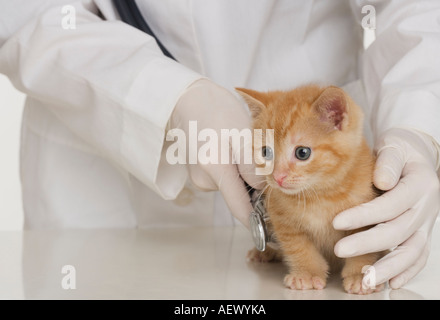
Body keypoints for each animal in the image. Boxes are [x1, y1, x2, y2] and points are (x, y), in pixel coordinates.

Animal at [235, 85, 384, 296]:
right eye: (266, 152)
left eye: (302, 153)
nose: (277, 177)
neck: (319, 194)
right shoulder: (283, 220)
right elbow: (298, 247)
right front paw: (306, 274)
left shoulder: (364, 214)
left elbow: (364, 245)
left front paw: (360, 275)